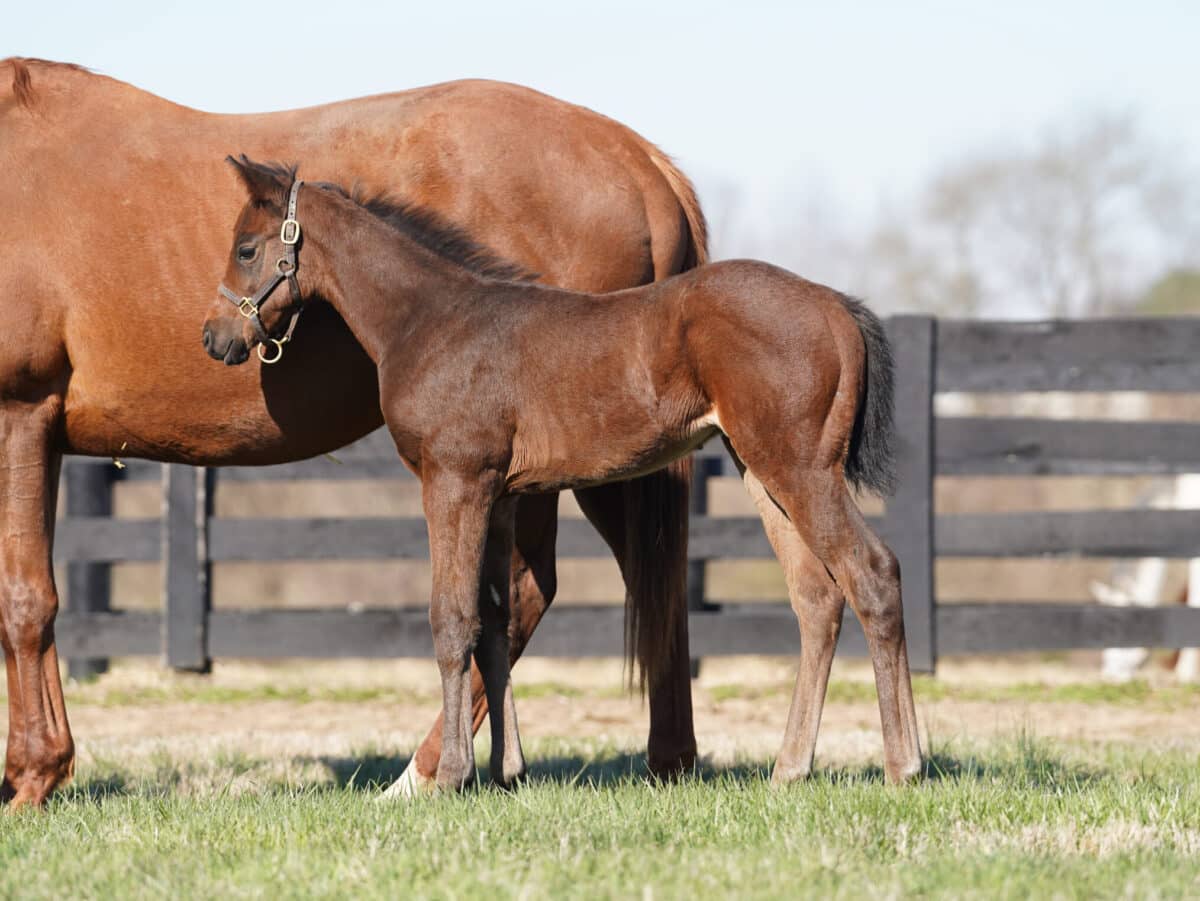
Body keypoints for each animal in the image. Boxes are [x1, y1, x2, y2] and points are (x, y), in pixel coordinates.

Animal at [208, 158, 916, 791]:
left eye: (246, 248)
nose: (216, 339)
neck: (431, 319)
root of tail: (835, 305)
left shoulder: (454, 482)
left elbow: (452, 620)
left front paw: (455, 776)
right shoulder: (499, 496)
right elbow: (495, 622)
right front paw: (506, 770)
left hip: (800, 468)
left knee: (872, 573)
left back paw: (903, 765)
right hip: (762, 473)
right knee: (816, 598)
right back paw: (790, 769)